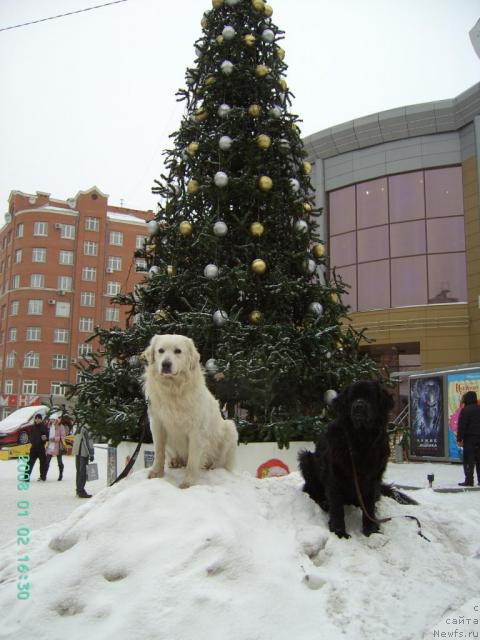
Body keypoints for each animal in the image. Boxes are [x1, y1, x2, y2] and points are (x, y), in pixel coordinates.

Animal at [142, 332, 240, 488]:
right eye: (160, 350)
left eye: (178, 351)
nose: (166, 364)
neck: (173, 388)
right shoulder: (157, 423)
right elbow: (159, 451)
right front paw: (156, 473)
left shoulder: (197, 431)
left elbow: (193, 460)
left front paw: (188, 483)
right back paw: (175, 461)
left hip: (230, 427)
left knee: (219, 463)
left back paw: (211, 467)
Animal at [300, 380, 398, 540]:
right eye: (352, 397)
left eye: (370, 396)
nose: (359, 406)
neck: (360, 439)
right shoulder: (334, 475)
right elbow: (337, 507)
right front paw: (339, 532)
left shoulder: (373, 476)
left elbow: (369, 505)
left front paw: (371, 530)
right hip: (306, 458)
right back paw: (324, 502)